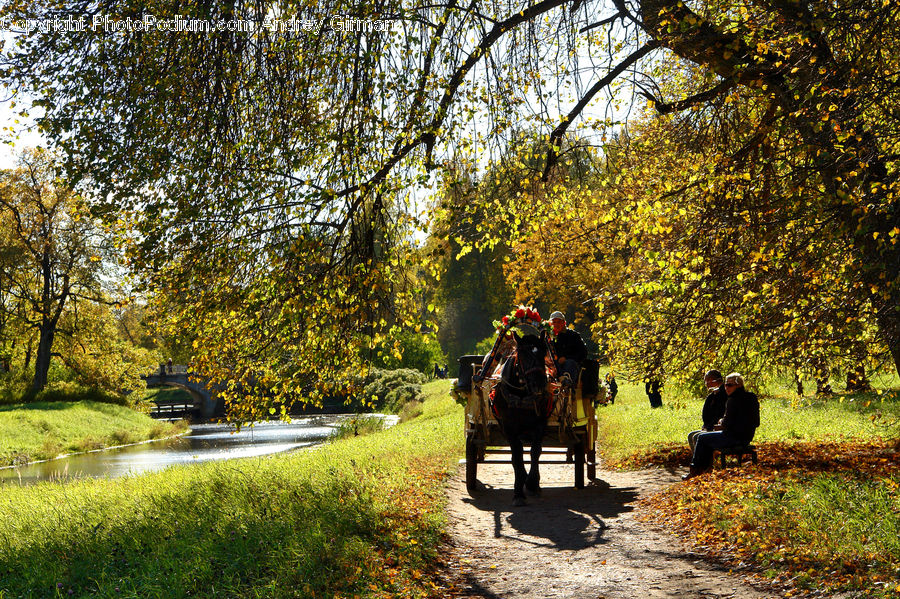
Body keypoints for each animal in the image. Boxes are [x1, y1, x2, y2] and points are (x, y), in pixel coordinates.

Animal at [488, 332, 552, 506]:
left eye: (544, 353)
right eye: (522, 355)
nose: (538, 384)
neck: (522, 396)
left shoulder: (540, 425)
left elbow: (535, 452)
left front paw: (532, 482)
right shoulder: (509, 428)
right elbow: (517, 455)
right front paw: (518, 492)